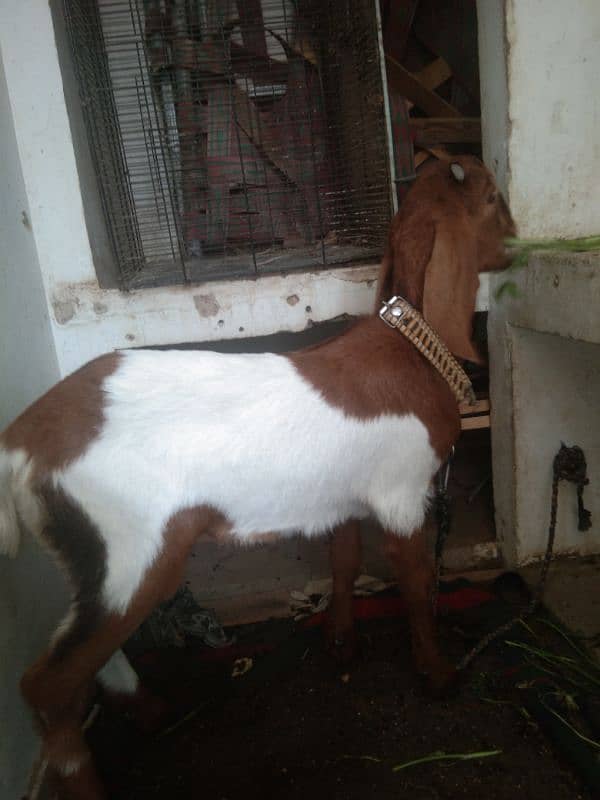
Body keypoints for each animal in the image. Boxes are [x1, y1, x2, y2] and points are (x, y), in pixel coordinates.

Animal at [0, 153, 516, 796]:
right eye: (492, 198)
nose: (518, 241)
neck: (411, 349)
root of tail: (22, 444)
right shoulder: (401, 496)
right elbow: (417, 585)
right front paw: (439, 674)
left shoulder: (341, 497)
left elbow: (344, 560)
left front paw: (341, 642)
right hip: (132, 549)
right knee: (48, 683)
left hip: (93, 562)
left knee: (83, 650)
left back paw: (151, 709)